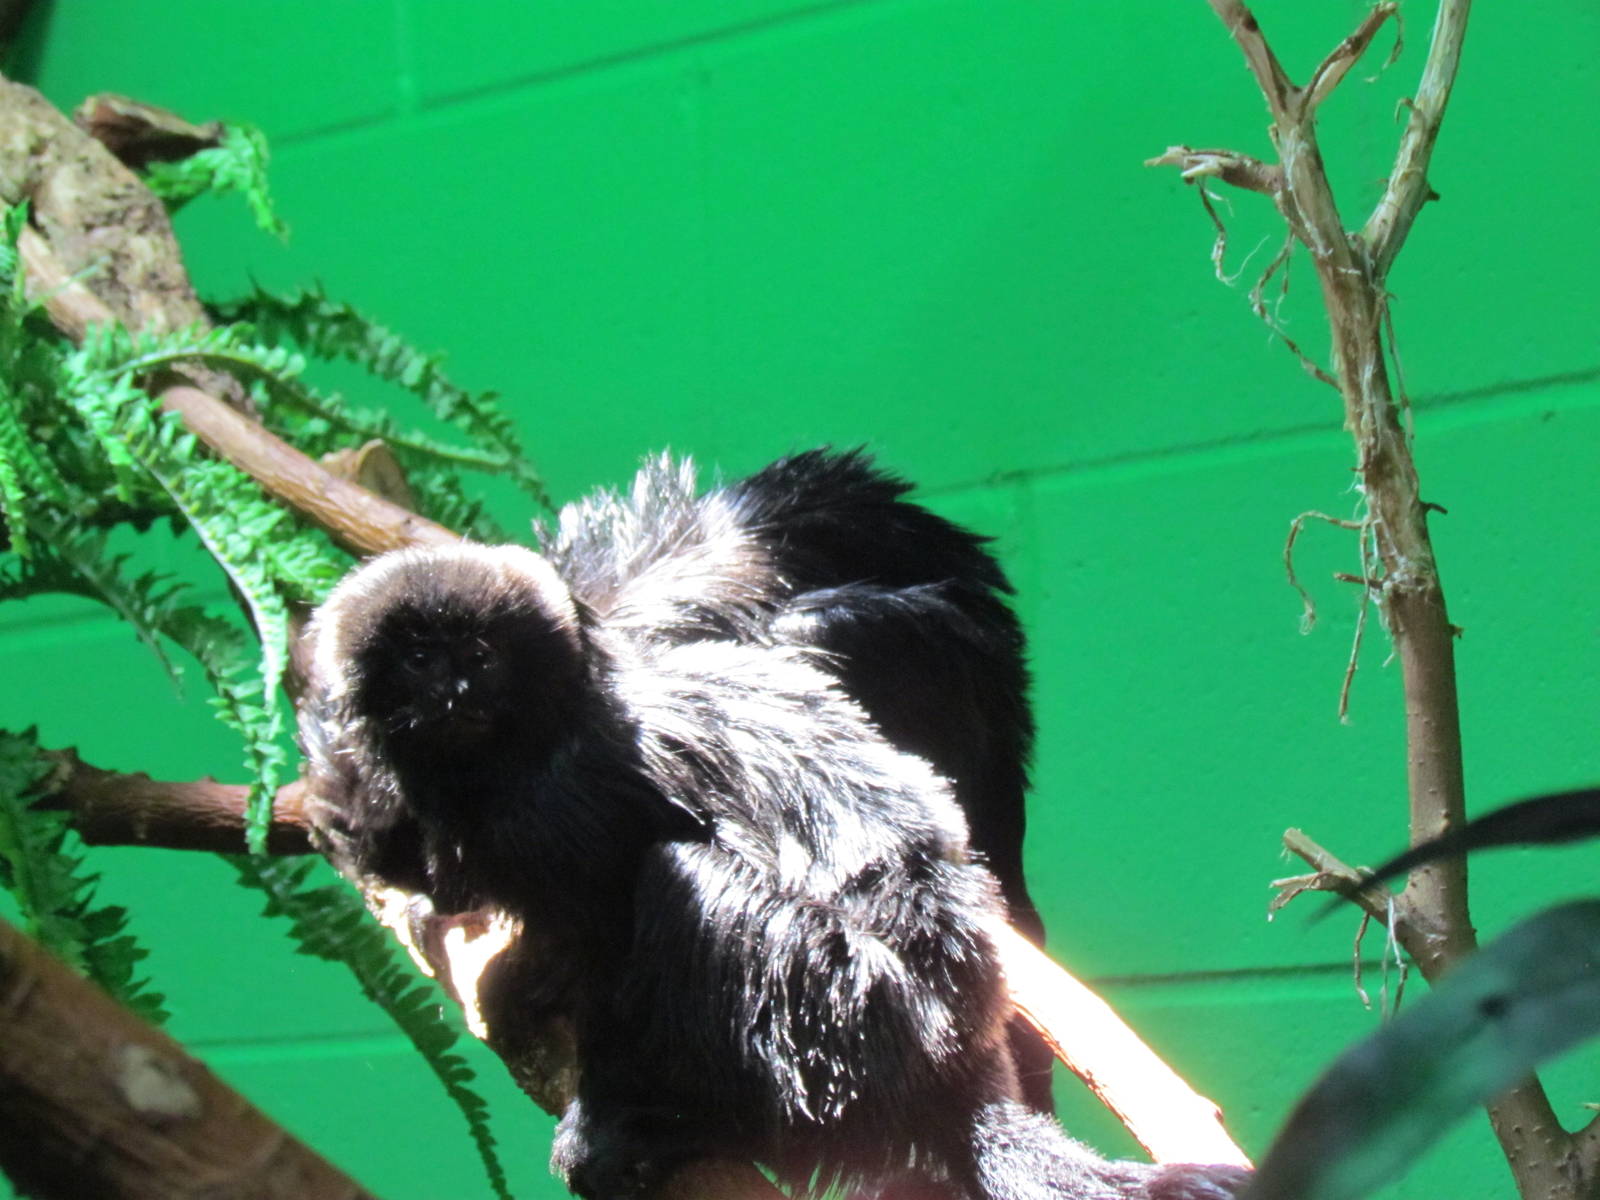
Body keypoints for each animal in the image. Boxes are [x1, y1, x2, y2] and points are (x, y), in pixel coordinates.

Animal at [299, 451, 1249, 1200]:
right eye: (420, 660)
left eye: (476, 658)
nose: (455, 690)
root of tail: (952, 1074)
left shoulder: (564, 799)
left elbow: (607, 909)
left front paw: (585, 1069)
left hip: (843, 1010)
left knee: (683, 874)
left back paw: (689, 1121)